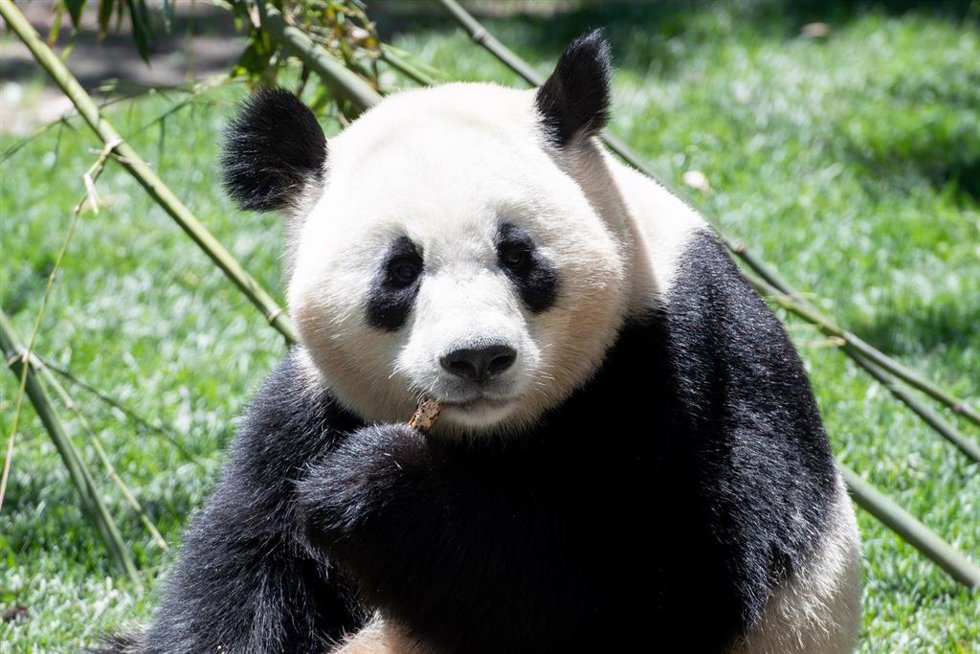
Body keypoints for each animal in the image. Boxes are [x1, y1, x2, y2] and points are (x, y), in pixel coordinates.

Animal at [101, 31, 862, 654]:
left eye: (519, 256)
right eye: (401, 270)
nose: (477, 358)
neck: (488, 435)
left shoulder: (681, 366)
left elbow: (650, 584)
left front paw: (374, 484)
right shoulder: (304, 413)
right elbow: (243, 572)